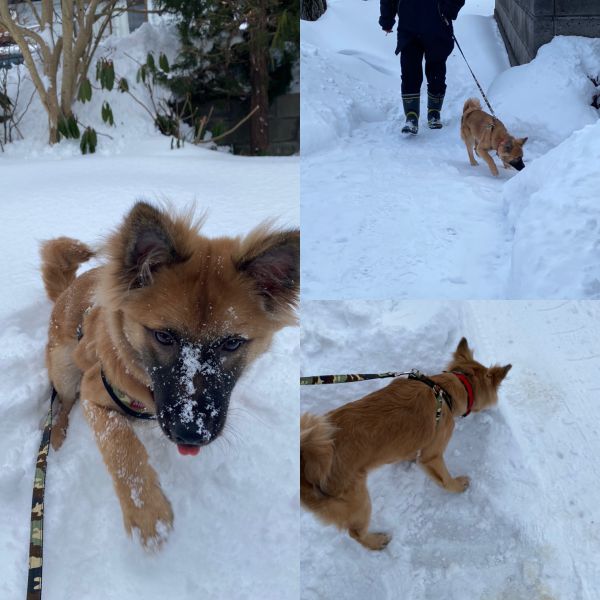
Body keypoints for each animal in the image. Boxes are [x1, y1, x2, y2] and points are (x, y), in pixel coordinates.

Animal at [41, 202, 298, 548]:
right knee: (63, 404)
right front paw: (147, 512)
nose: (190, 433)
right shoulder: (96, 393)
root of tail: (67, 291)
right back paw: (58, 435)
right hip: (65, 368)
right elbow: (122, 447)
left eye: (231, 343)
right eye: (163, 336)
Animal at [300, 338, 510, 548]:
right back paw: (377, 542)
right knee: (355, 533)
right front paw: (458, 486)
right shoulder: (432, 456)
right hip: (359, 501)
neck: (445, 390)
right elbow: (445, 479)